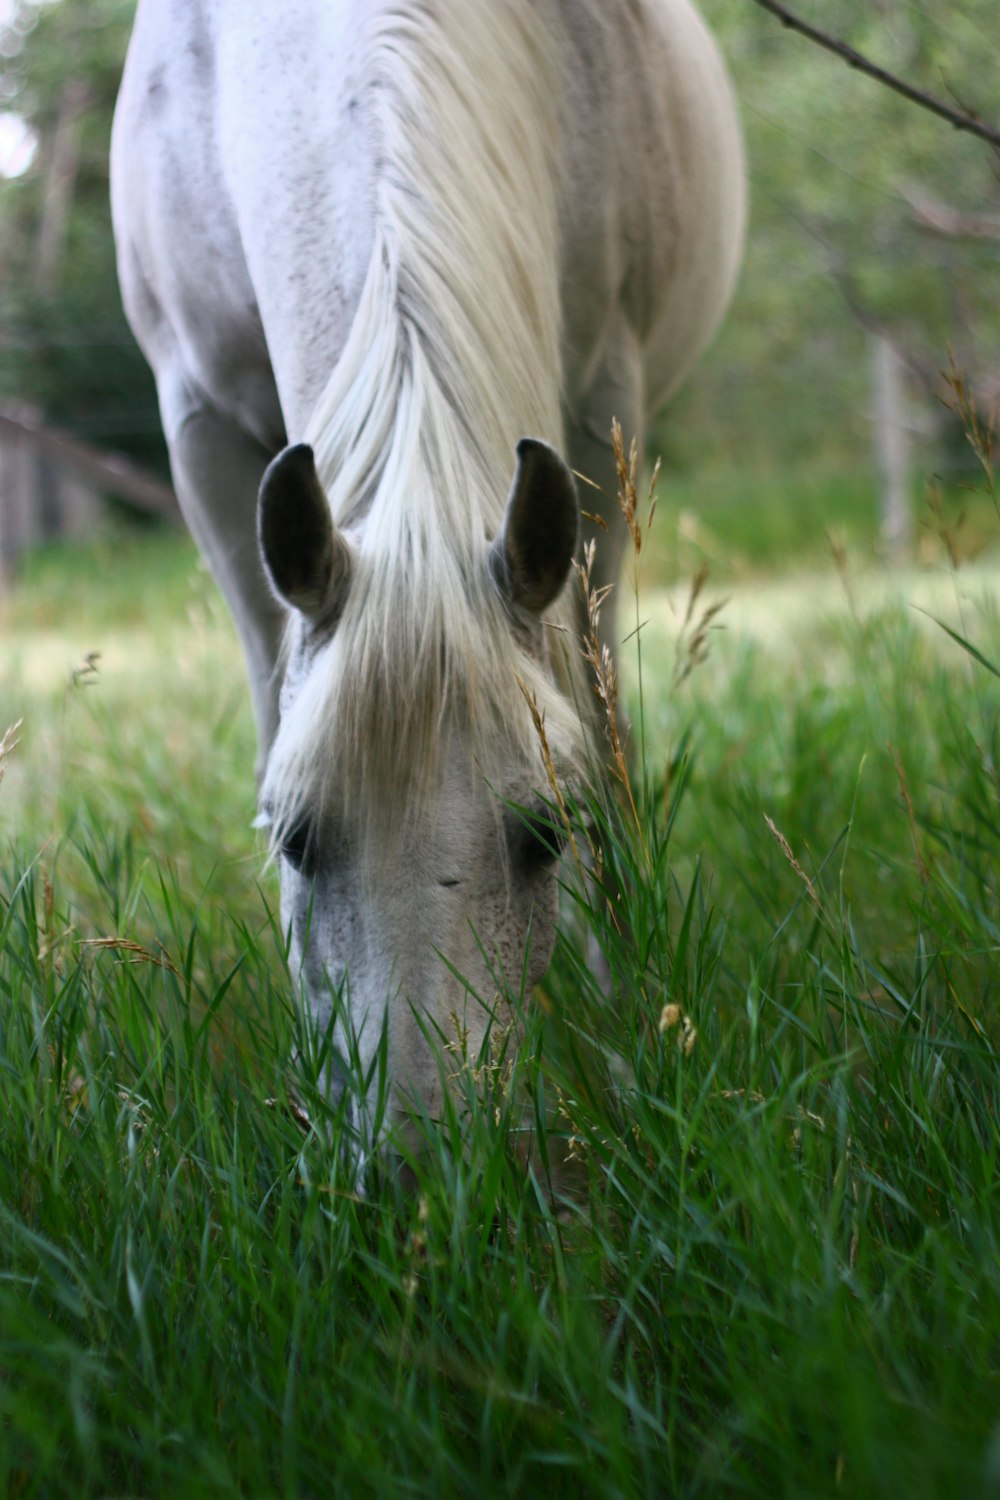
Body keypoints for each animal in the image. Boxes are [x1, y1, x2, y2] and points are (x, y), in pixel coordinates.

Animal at [113, 0, 746, 1134]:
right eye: (296, 841)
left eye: (543, 835)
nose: (424, 1159)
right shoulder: (198, 431)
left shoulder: (602, 412)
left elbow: (599, 732)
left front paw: (627, 1022)